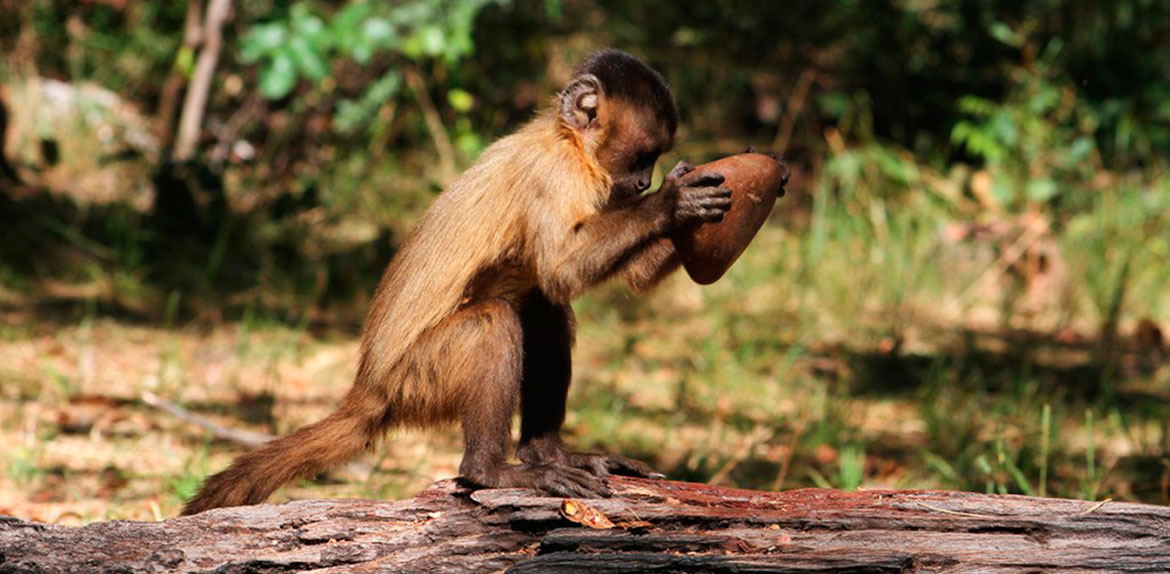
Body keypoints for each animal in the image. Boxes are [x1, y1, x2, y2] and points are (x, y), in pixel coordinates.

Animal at [181, 48, 730, 516]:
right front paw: (672, 202)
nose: (644, 183)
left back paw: (546, 454)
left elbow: (620, 276)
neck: (568, 141)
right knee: (497, 319)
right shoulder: (555, 173)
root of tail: (369, 389)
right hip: (417, 381)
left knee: (542, 311)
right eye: (641, 156)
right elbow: (562, 270)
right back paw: (489, 472)